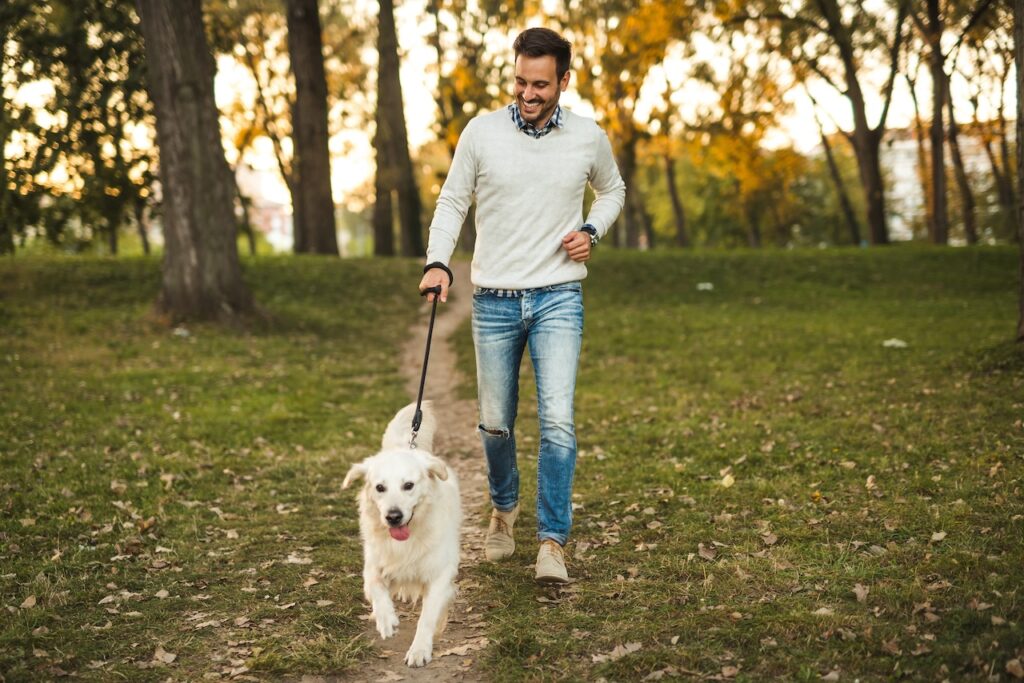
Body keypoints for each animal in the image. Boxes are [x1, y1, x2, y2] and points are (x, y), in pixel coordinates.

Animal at [342, 401, 462, 667]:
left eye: (409, 485)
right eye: (380, 487)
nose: (393, 516)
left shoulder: (439, 573)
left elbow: (427, 617)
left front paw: (419, 649)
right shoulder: (373, 565)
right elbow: (376, 588)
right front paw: (386, 619)